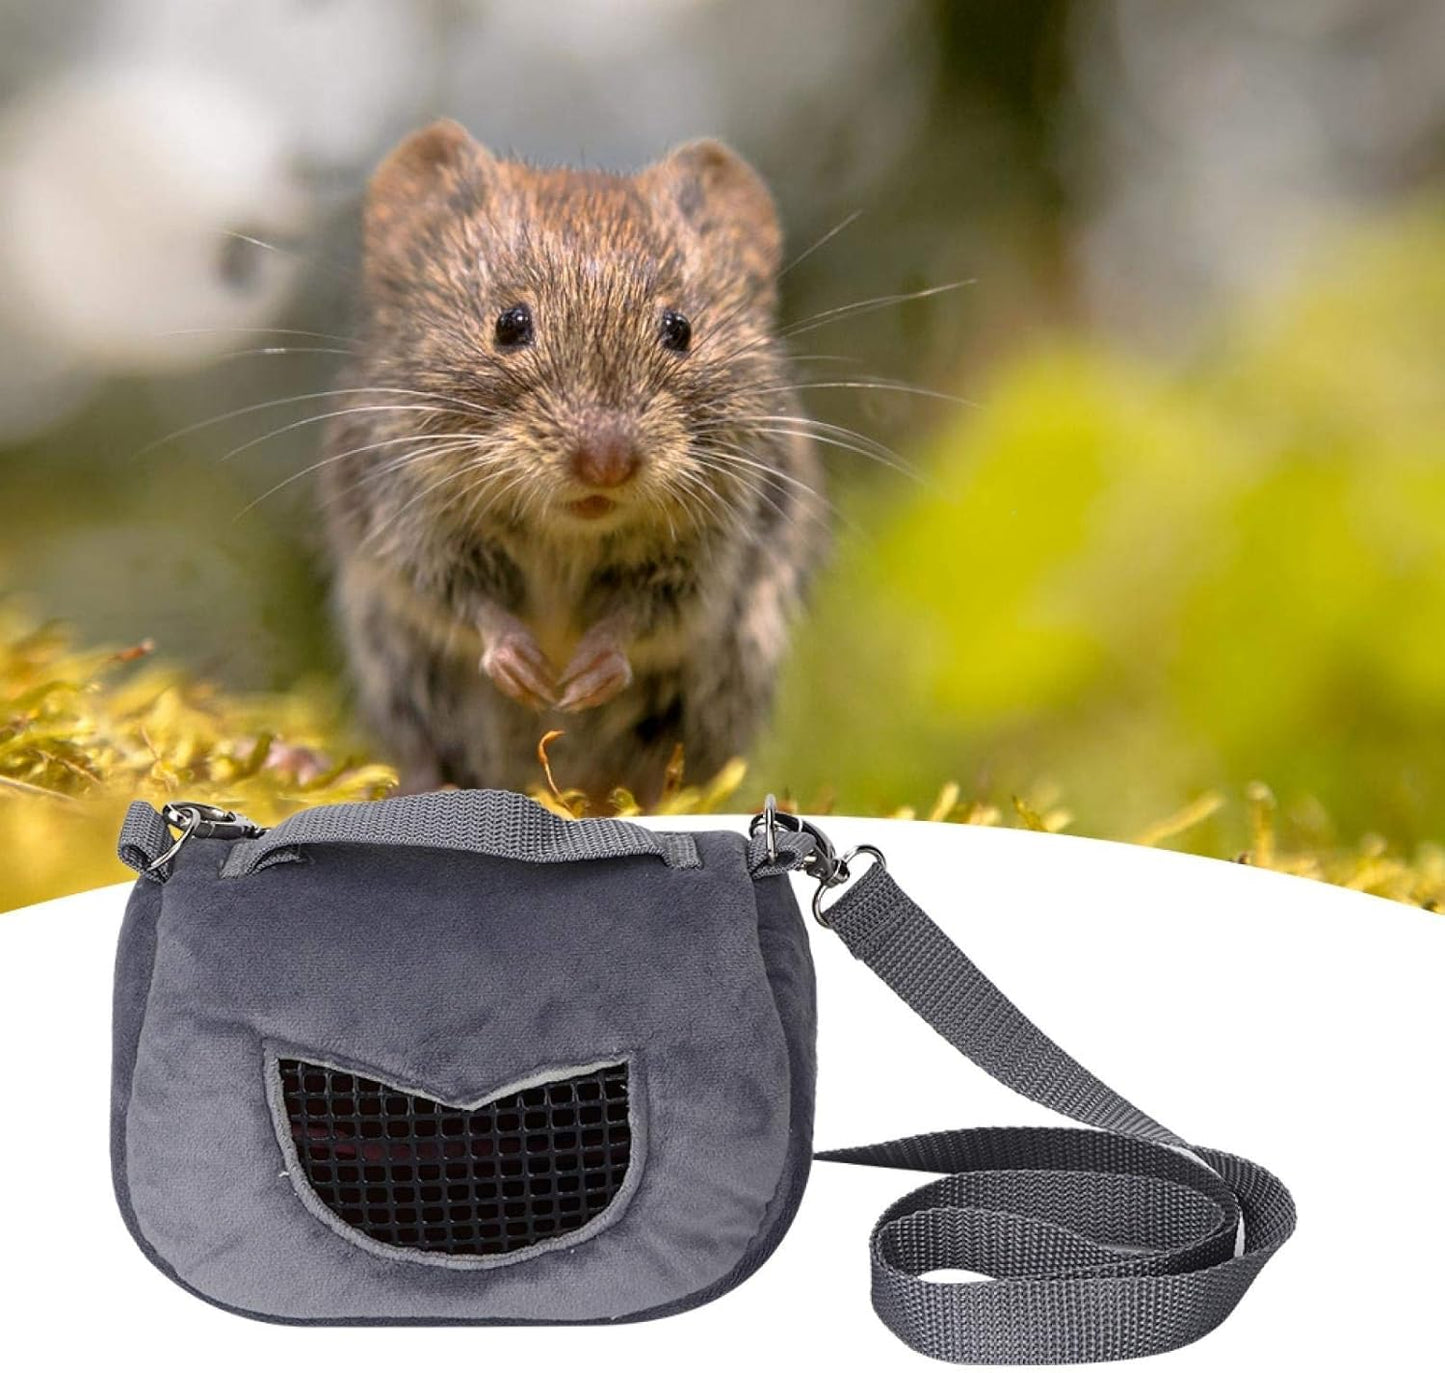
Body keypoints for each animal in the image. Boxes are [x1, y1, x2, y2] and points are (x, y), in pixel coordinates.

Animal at [320, 120, 827, 804]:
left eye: (680, 329)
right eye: (509, 324)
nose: (606, 464)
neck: (568, 531)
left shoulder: (710, 556)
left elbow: (647, 618)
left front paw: (587, 674)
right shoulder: (410, 526)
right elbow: (462, 603)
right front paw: (525, 667)